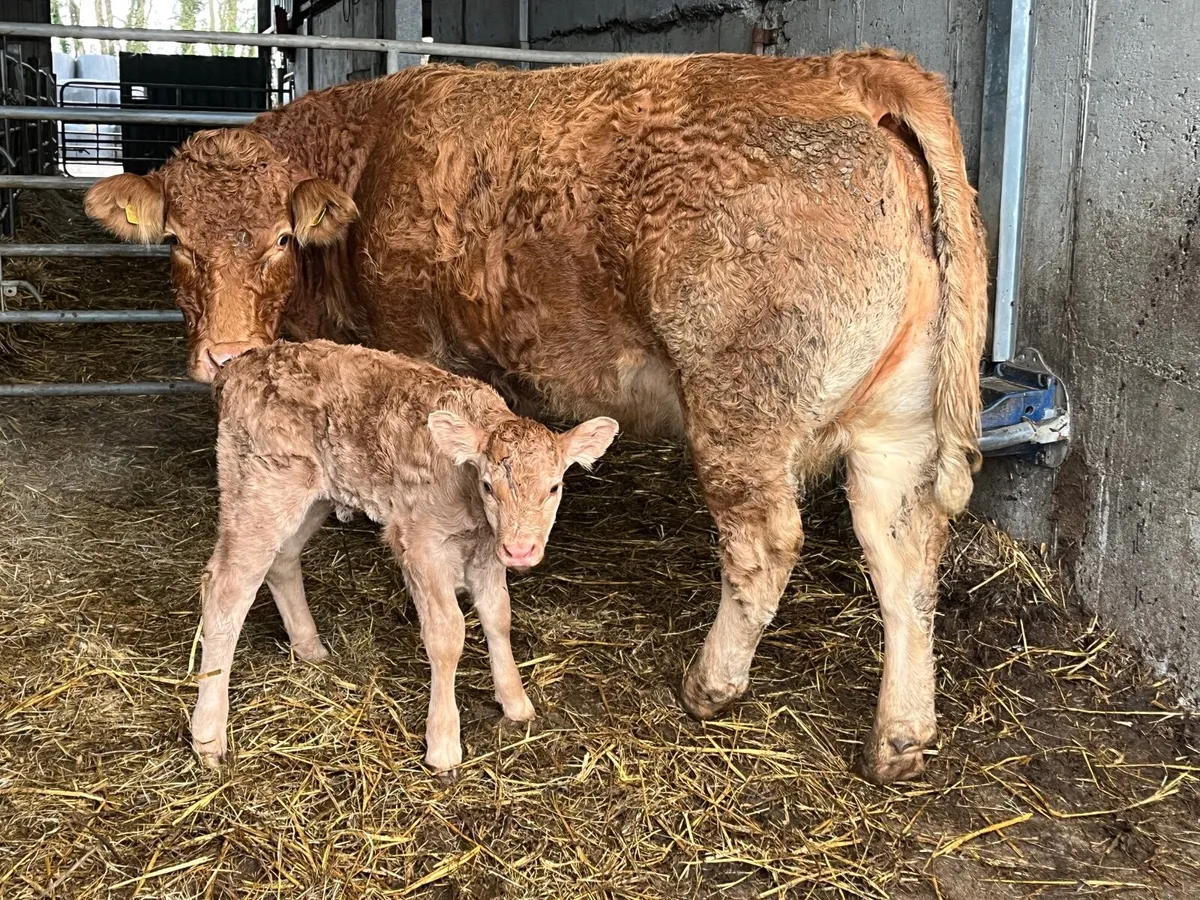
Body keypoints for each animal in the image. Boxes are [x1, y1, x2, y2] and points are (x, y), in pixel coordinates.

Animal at [193, 338, 619, 770]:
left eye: (554, 487)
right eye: (488, 485)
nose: (520, 549)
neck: (467, 497)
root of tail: (242, 366)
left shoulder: (486, 550)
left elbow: (499, 616)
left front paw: (516, 701)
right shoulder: (420, 543)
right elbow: (447, 633)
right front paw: (443, 742)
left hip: (313, 493)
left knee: (282, 559)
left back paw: (310, 648)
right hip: (260, 485)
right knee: (226, 588)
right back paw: (208, 734)